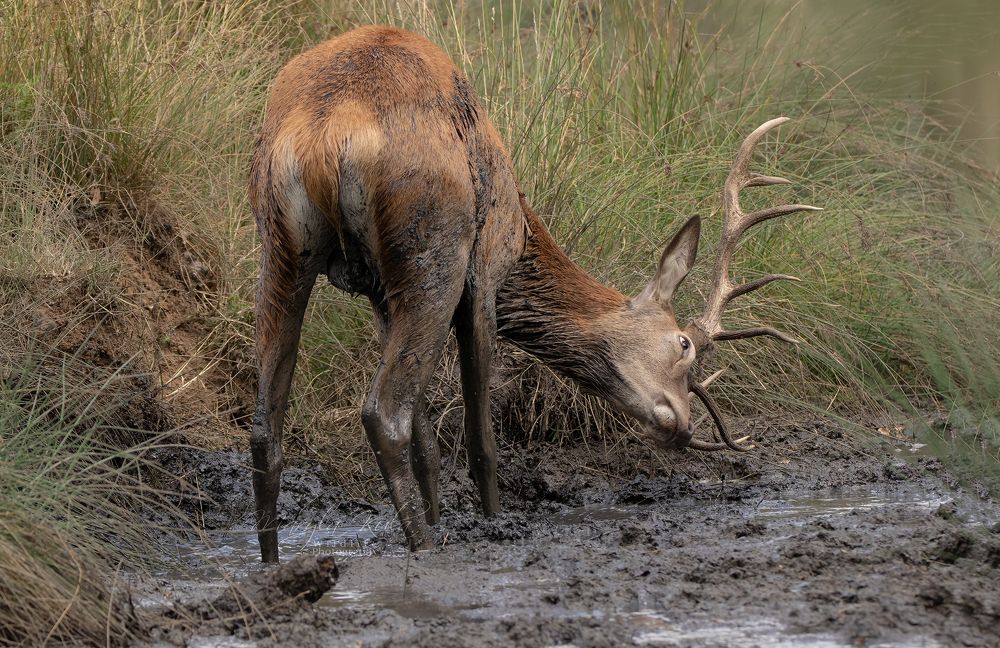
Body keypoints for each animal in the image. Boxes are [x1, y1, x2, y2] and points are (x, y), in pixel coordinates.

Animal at [248, 25, 820, 563]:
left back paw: (274, 563)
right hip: (435, 246)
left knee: (266, 432)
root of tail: (326, 136)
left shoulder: (379, 294)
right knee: (384, 413)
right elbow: (479, 439)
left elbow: (428, 441)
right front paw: (491, 523)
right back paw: (425, 548)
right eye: (683, 345)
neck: (526, 232)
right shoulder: (485, 270)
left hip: (282, 243)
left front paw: (441, 516)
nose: (683, 426)